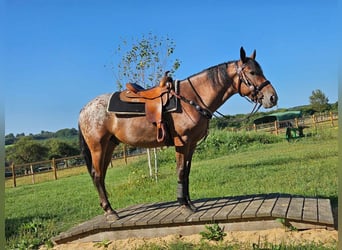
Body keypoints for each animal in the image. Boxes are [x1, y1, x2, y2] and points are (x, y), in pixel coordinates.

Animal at [78, 47, 278, 219]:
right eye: (252, 72)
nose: (272, 97)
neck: (193, 98)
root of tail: (84, 110)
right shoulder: (182, 142)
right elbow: (181, 171)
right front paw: (183, 205)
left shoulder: (192, 144)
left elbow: (187, 172)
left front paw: (190, 203)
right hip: (98, 147)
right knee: (97, 175)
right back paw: (110, 212)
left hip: (109, 146)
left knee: (101, 176)